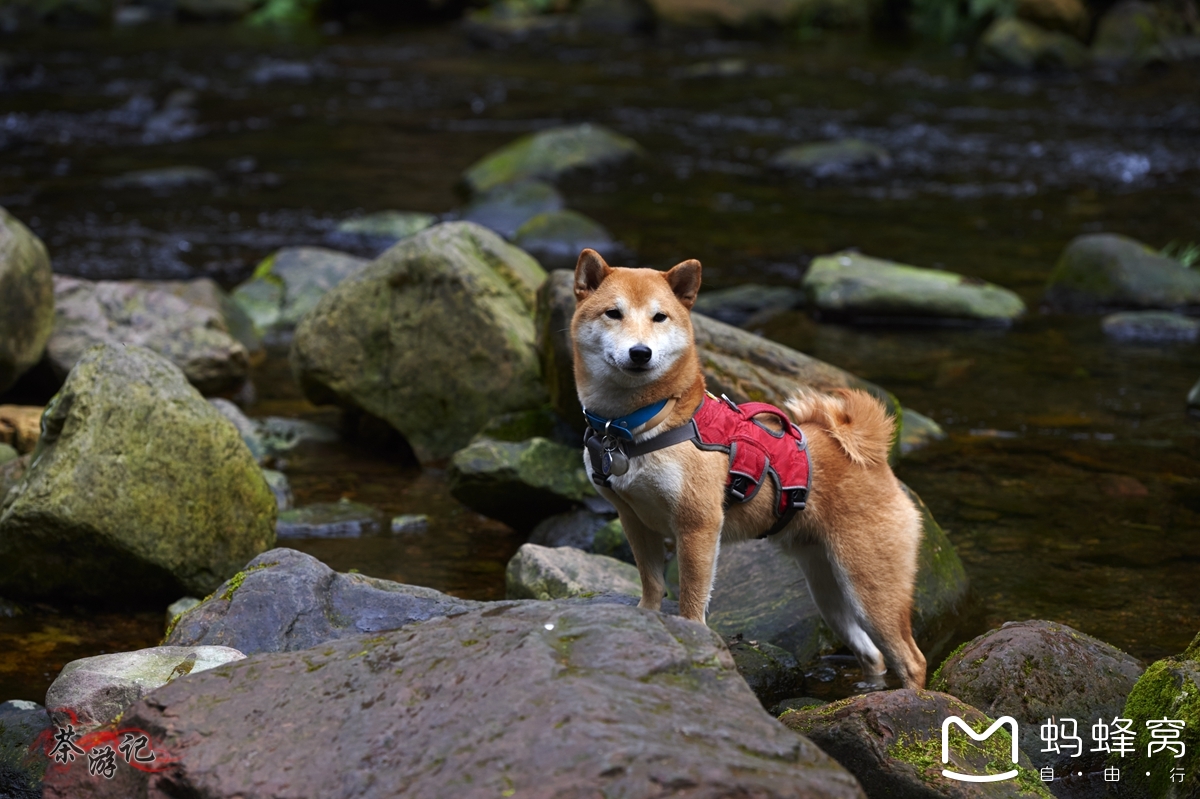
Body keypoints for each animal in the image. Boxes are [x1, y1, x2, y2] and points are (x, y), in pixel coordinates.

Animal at [571, 247, 926, 686]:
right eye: (613, 313)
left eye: (660, 317)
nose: (641, 352)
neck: (636, 426)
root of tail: (872, 457)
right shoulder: (634, 520)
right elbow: (652, 587)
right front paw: (646, 623)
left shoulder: (698, 524)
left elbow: (691, 600)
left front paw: (694, 641)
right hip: (827, 589)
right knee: (872, 654)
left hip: (871, 585)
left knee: (911, 659)